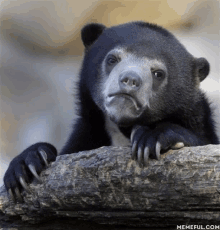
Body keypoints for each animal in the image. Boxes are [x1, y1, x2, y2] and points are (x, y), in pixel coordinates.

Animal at [2, 21, 219, 201]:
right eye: (112, 59)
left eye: (158, 73)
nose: (130, 80)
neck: (122, 129)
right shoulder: (88, 134)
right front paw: (26, 165)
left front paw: (150, 137)